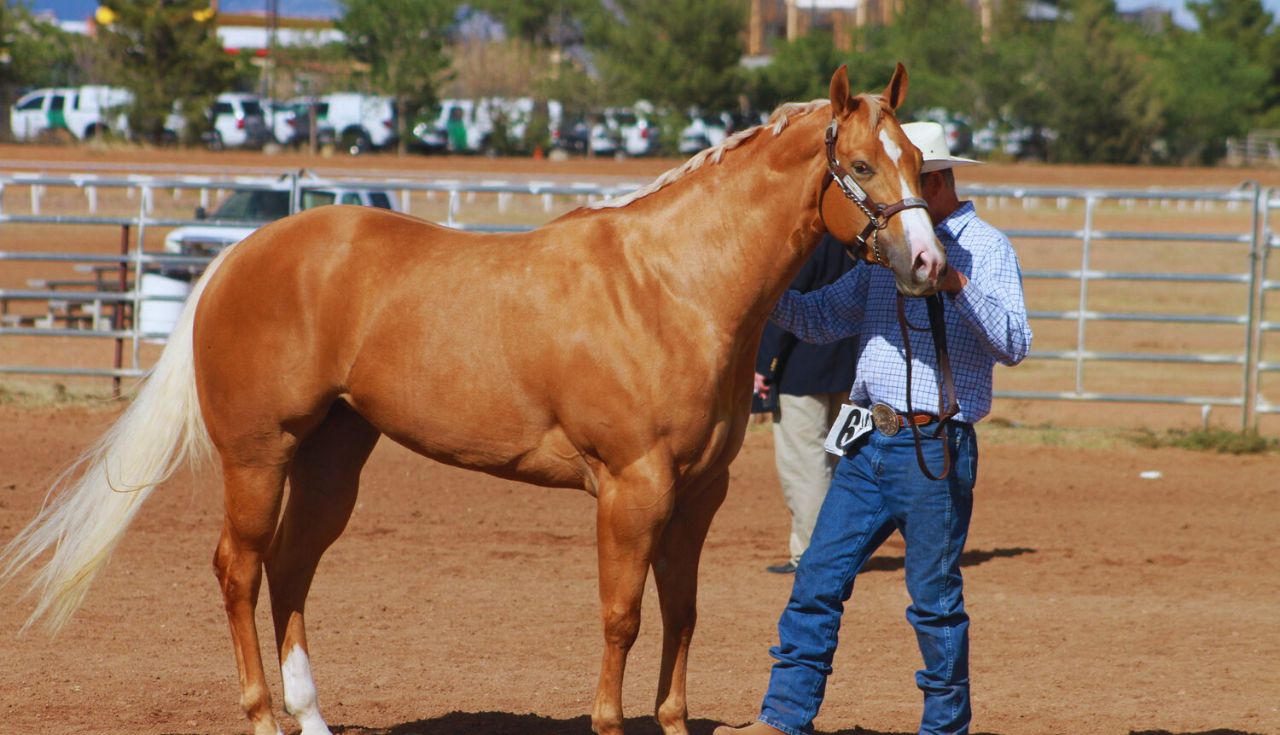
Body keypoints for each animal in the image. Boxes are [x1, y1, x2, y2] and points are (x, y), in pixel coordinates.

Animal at [0, 66, 942, 732]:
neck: (671, 285)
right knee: (239, 568)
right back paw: (264, 715)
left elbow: (683, 614)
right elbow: (623, 617)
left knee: (290, 567)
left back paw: (311, 715)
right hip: (258, 455)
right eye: (862, 164)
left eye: (918, 165)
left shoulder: (696, 495)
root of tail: (242, 253)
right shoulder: (631, 489)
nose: (931, 265)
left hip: (333, 456)